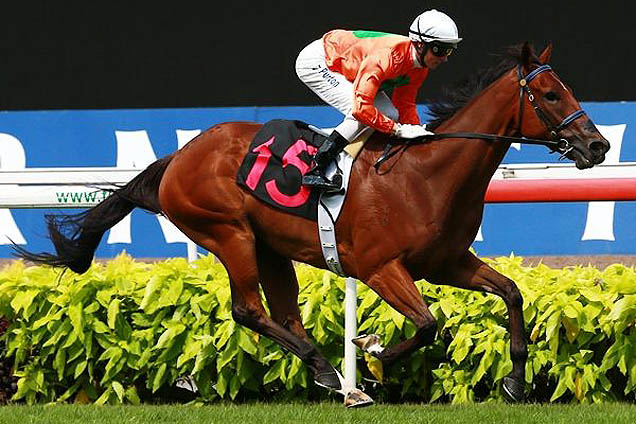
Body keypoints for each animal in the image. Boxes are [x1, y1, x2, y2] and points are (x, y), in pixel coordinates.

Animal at [16, 44, 612, 404]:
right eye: (551, 93)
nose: (599, 146)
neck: (426, 175)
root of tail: (180, 155)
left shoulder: (447, 263)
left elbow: (511, 293)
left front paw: (515, 381)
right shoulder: (379, 268)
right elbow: (426, 325)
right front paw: (373, 355)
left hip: (269, 247)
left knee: (284, 314)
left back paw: (333, 377)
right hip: (227, 233)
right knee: (248, 310)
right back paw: (334, 375)